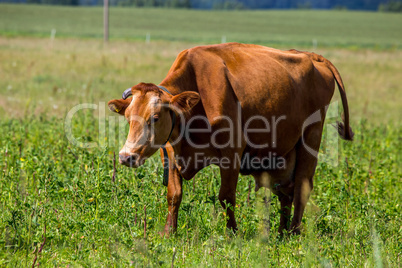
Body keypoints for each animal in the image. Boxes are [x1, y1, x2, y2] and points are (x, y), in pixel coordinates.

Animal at [108, 43, 354, 236]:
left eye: (155, 117)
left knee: (301, 188)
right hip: (282, 156)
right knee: (286, 193)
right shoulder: (170, 154)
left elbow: (226, 197)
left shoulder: (231, 154)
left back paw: (293, 233)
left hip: (310, 138)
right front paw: (169, 232)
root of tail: (311, 56)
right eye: (128, 117)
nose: (126, 156)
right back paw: (281, 233)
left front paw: (232, 233)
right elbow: (174, 195)